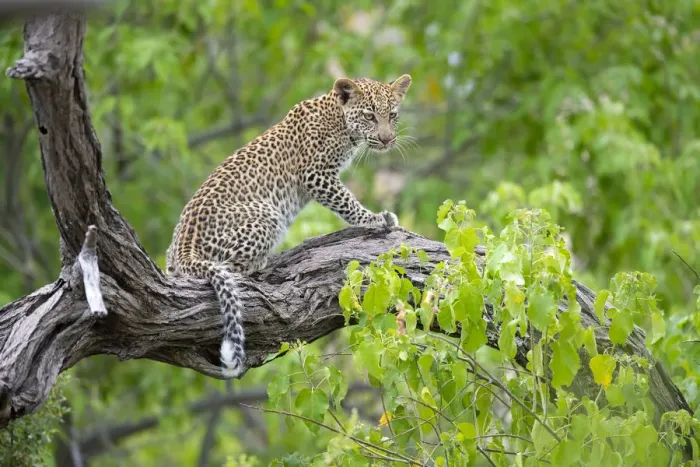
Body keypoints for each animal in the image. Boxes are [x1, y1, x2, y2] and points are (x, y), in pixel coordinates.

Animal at [165, 74, 413, 378]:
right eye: (369, 116)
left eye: (392, 115)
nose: (387, 139)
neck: (340, 121)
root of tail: (184, 249)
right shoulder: (316, 174)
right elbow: (347, 201)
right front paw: (375, 219)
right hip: (268, 215)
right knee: (232, 266)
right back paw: (261, 262)